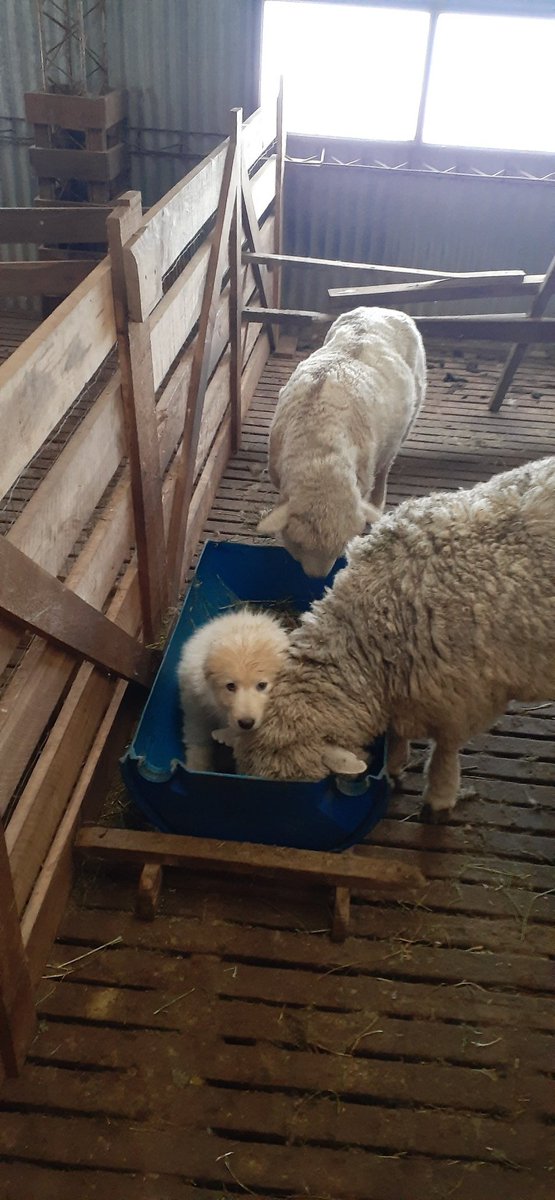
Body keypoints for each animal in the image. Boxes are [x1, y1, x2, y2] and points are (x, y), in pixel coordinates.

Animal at [257, 306, 426, 577]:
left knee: (386, 466)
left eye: (343, 545)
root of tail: (382, 309)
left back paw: (378, 500)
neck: (319, 455)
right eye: (298, 543)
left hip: (411, 413)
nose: (316, 577)